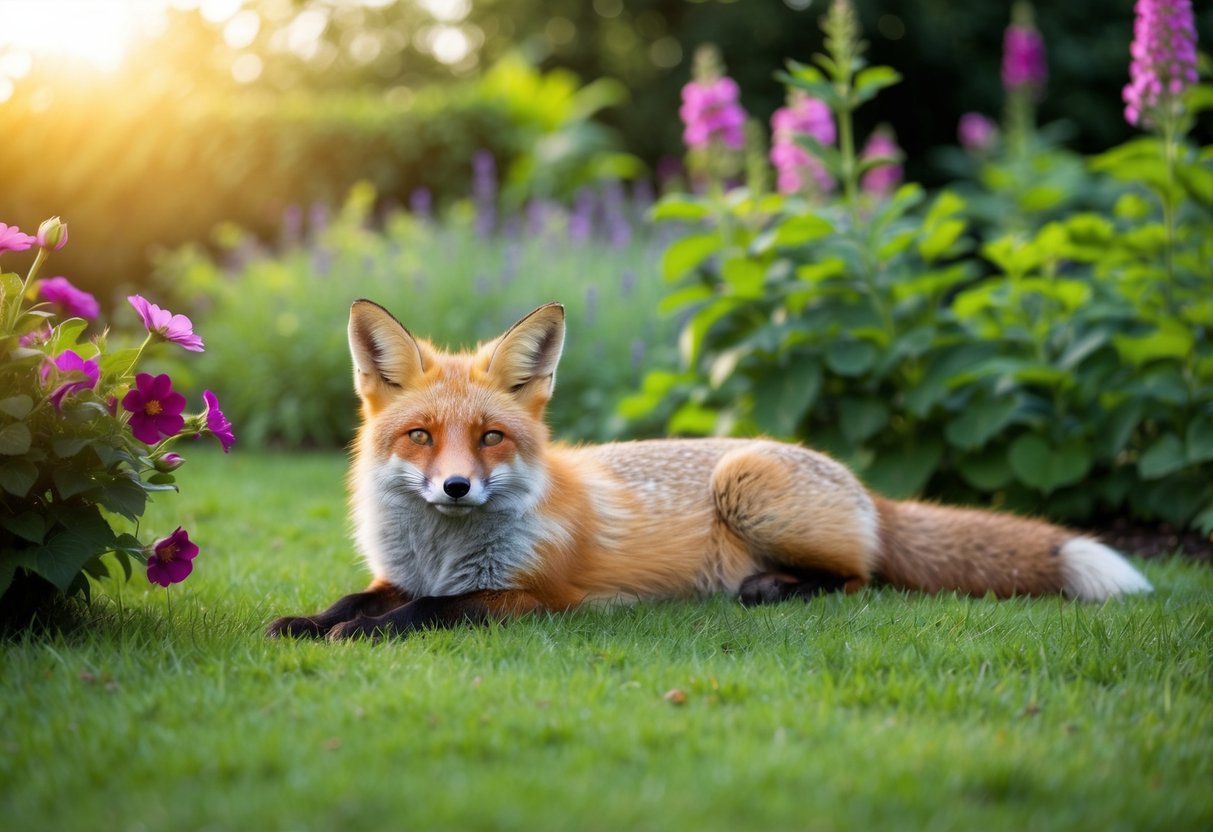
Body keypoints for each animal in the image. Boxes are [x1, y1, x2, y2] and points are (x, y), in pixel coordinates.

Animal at [267, 300, 1153, 640]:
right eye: (420, 436)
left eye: (489, 438)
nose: (456, 488)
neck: (442, 551)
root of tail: (865, 486)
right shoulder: (399, 573)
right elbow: (361, 597)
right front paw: (308, 621)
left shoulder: (531, 595)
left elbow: (429, 612)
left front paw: (355, 634)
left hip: (747, 486)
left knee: (863, 577)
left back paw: (772, 589)